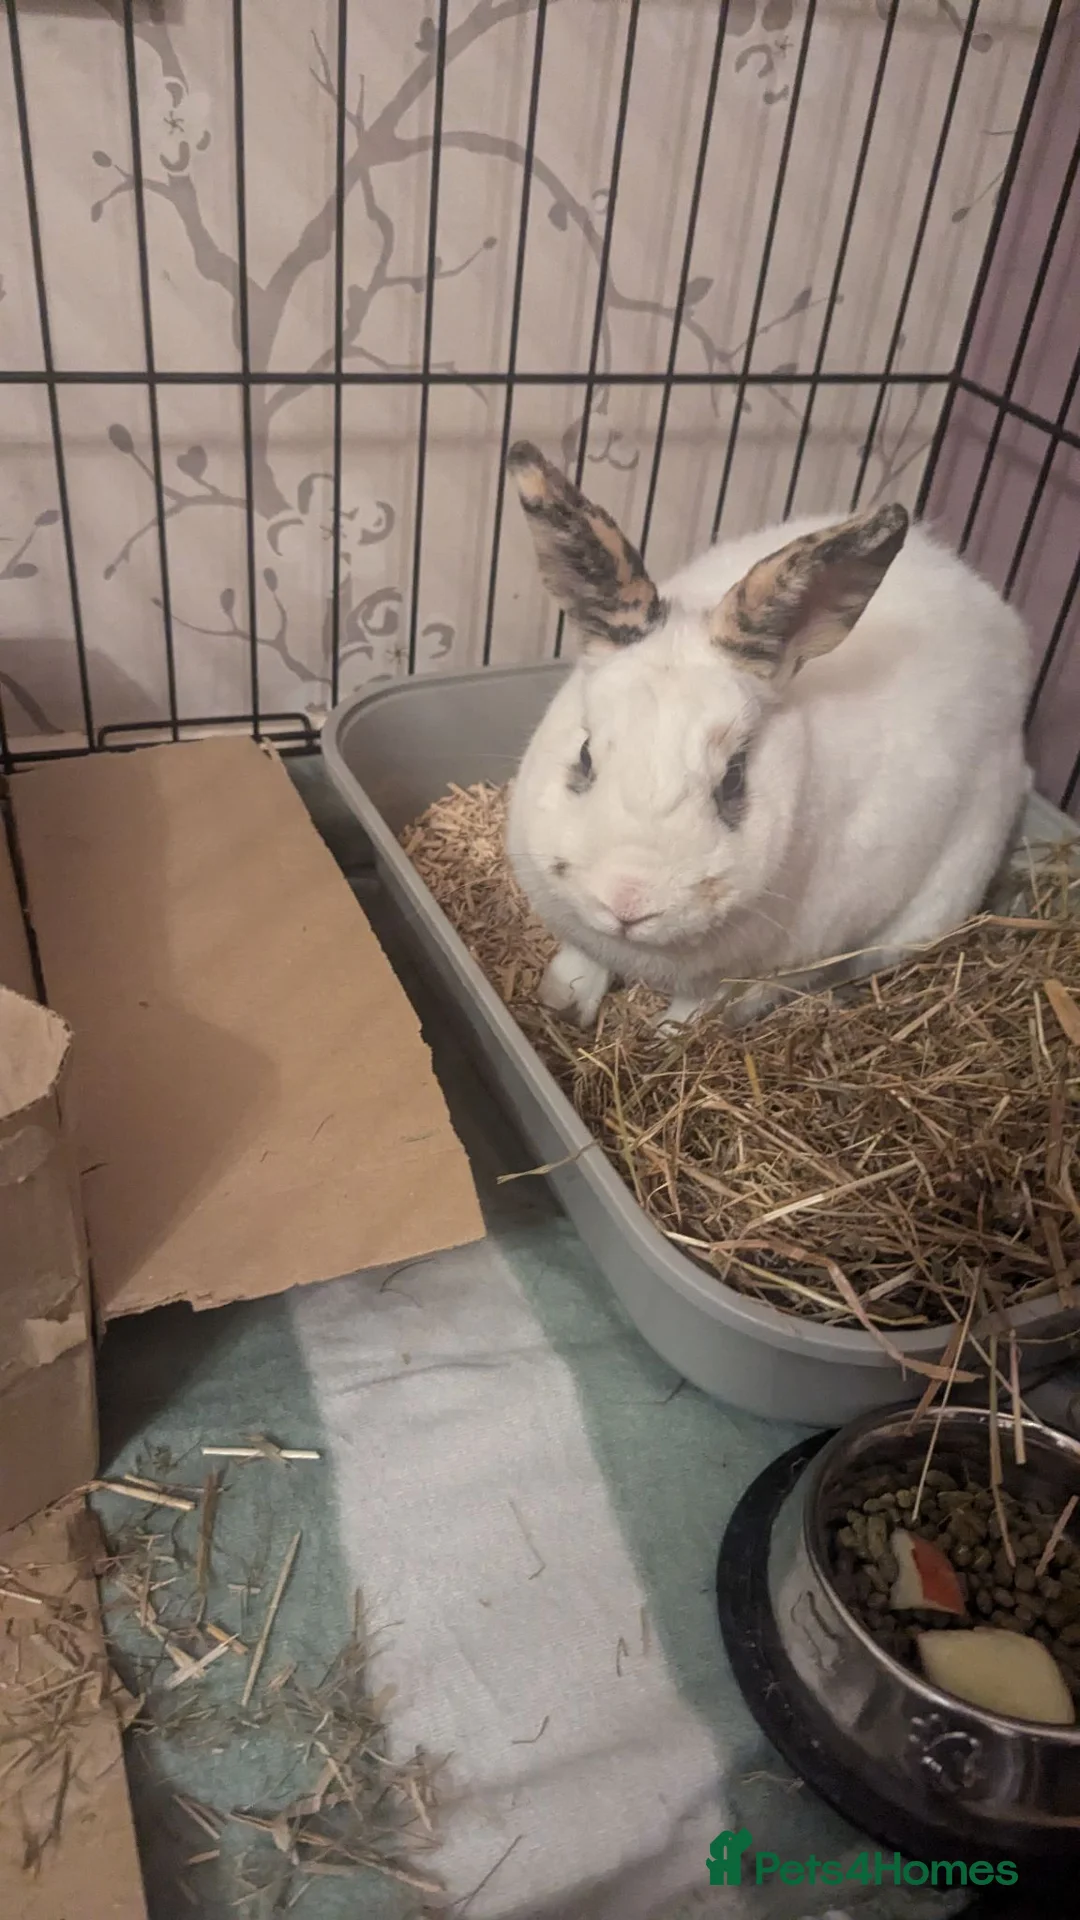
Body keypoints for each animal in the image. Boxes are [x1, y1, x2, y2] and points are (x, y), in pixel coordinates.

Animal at [503, 440, 1033, 1032]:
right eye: (585, 755)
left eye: (733, 780)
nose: (628, 901)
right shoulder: (580, 933)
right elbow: (580, 965)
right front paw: (561, 1004)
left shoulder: (760, 978)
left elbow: (694, 1016)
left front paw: (664, 1036)